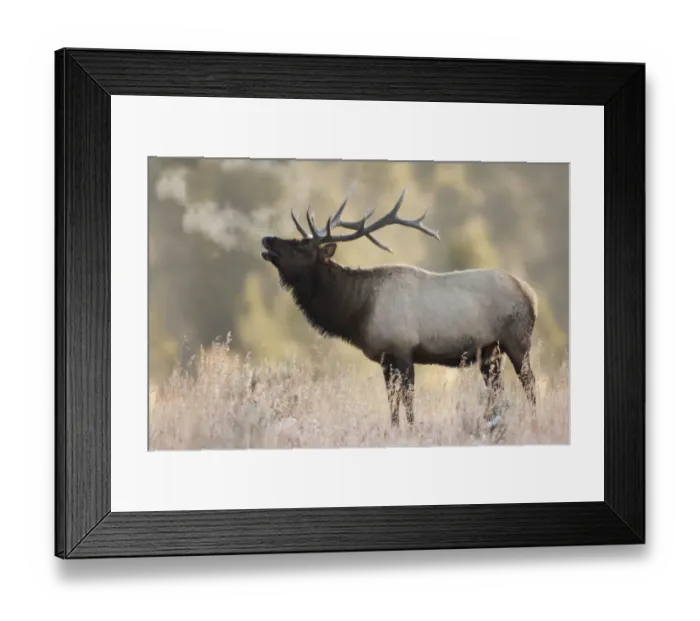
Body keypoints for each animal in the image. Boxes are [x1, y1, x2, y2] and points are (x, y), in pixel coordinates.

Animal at [260, 189, 538, 430]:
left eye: (300, 247)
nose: (266, 239)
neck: (358, 311)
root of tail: (531, 295)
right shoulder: (386, 359)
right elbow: (392, 401)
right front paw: (394, 429)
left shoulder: (403, 349)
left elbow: (408, 398)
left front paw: (413, 429)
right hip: (491, 352)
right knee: (497, 391)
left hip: (516, 341)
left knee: (530, 384)